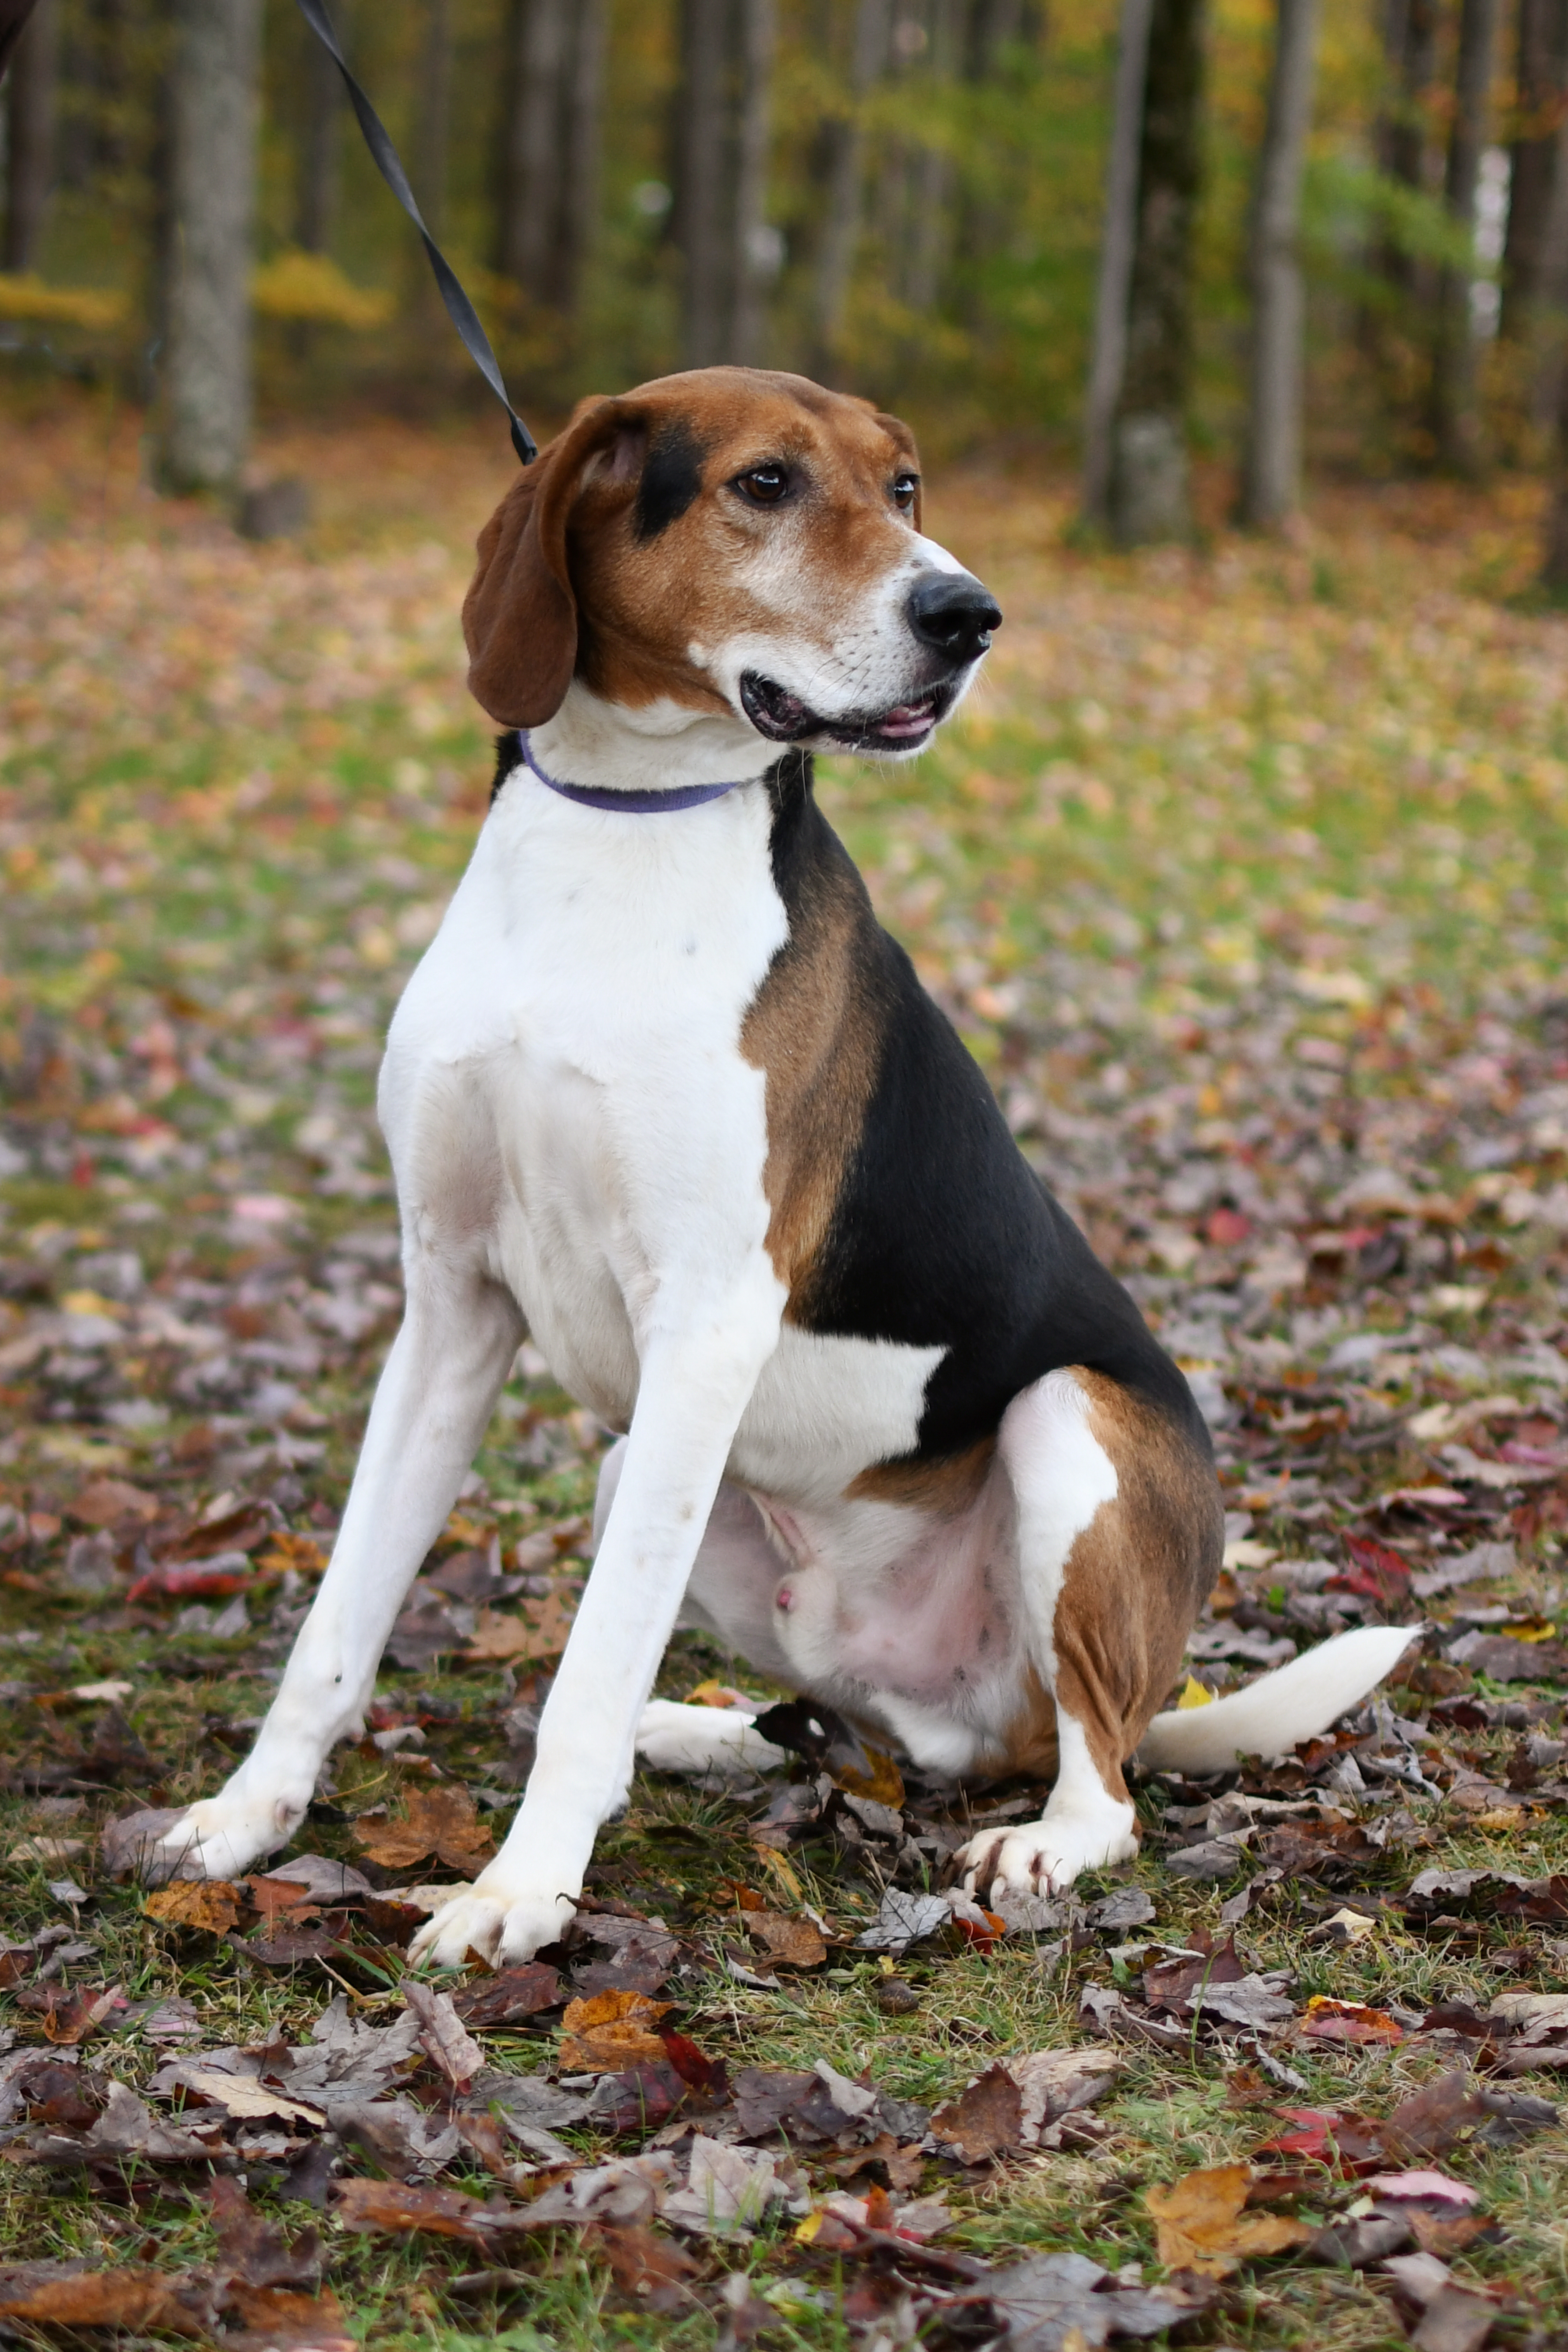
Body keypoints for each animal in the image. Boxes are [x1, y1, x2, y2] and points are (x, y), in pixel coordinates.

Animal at [150, 367, 1420, 1957]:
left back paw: (1040, 1836)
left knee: (1099, 1780)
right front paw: (247, 1813)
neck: (621, 829)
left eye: (906, 487)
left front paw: (517, 1890)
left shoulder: (703, 1322)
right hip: (649, 1475)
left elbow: (588, 1663)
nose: (969, 614)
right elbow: (339, 1619)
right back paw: (702, 1732)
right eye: (762, 483)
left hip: (1063, 1432)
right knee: (869, 1733)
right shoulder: (449, 1300)